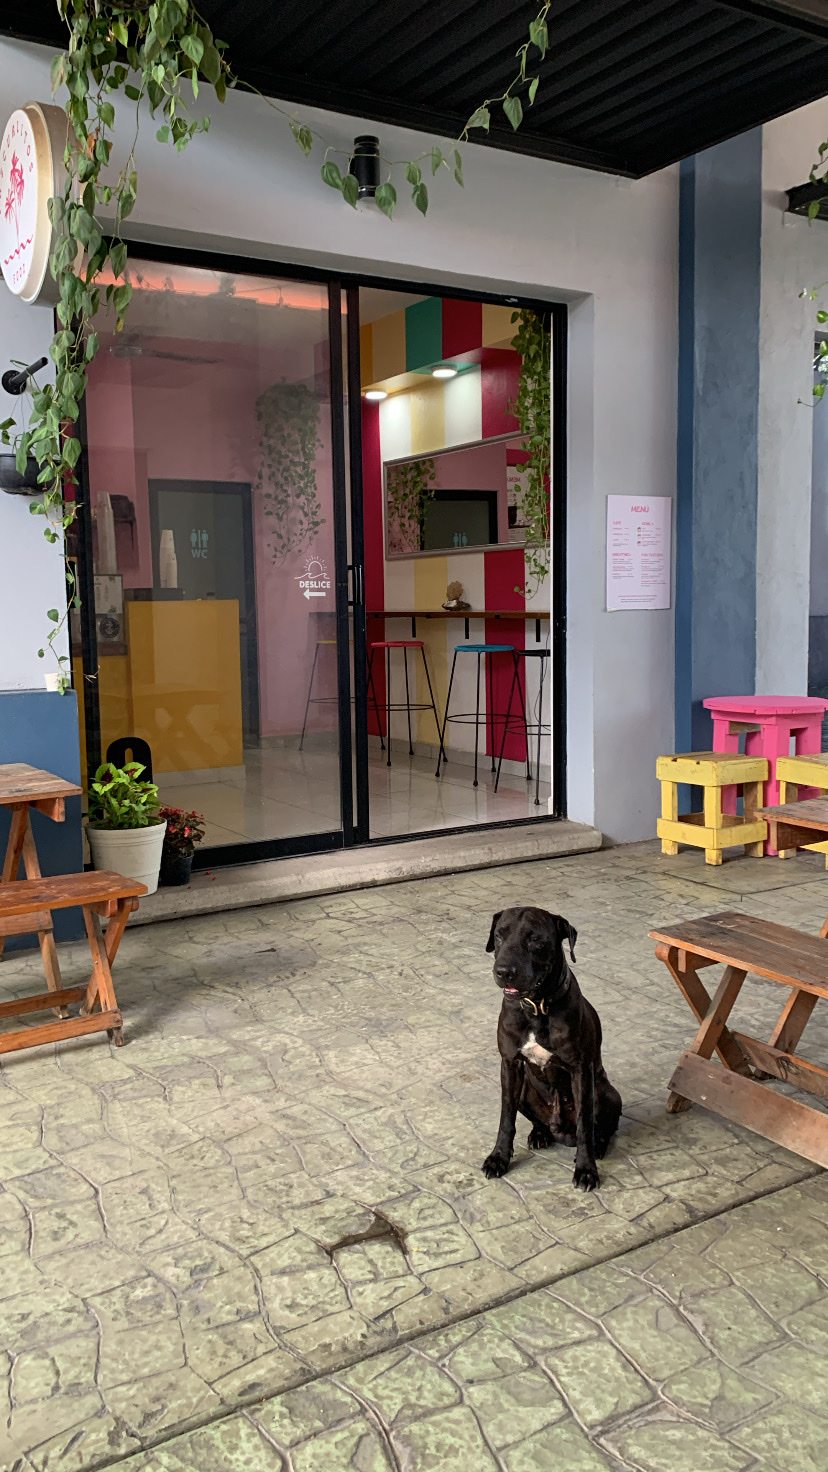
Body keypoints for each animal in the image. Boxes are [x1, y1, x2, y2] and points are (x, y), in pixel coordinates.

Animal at [481, 906, 622, 1191]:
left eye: (535, 939)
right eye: (499, 935)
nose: (503, 971)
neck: (537, 1007)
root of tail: (559, 1129)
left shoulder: (581, 1071)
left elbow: (585, 1126)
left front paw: (586, 1170)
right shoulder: (510, 1065)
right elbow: (506, 1118)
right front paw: (498, 1158)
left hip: (606, 1093)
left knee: (602, 1127)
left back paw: (598, 1146)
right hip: (525, 1090)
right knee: (538, 1120)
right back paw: (540, 1133)